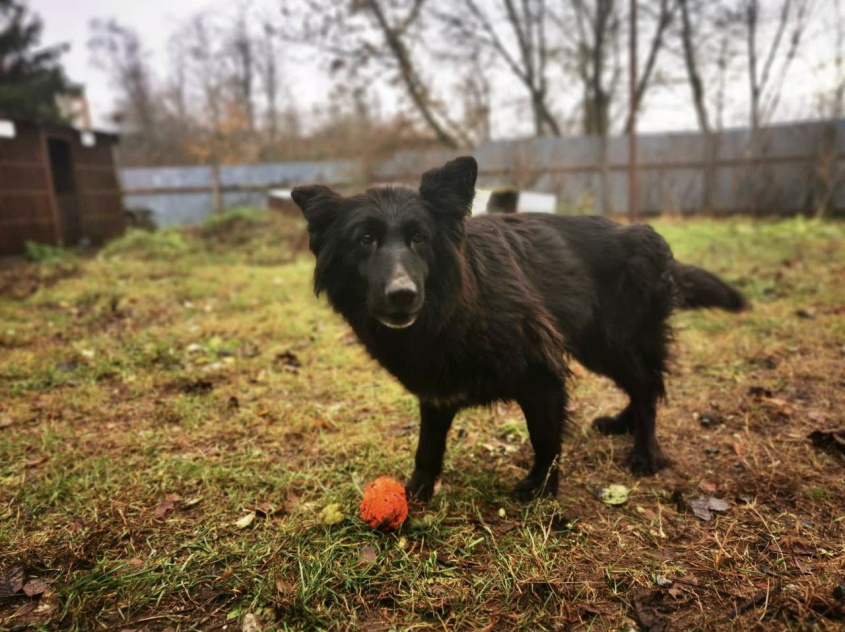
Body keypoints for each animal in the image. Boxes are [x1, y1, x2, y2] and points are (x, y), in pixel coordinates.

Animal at [292, 156, 744, 502]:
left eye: (419, 238)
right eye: (365, 239)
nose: (402, 295)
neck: (456, 302)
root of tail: (643, 233)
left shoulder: (541, 373)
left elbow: (544, 438)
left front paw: (541, 486)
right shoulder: (436, 393)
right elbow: (427, 447)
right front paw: (417, 490)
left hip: (611, 341)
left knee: (648, 383)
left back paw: (645, 452)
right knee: (643, 381)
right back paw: (622, 422)